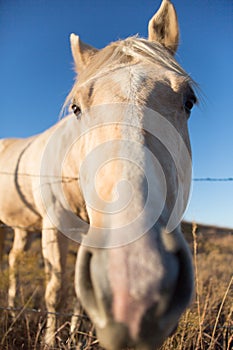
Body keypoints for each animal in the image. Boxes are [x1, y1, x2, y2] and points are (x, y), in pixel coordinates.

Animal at [0, 0, 197, 348]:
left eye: (189, 101)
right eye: (76, 107)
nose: (136, 293)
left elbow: (81, 295)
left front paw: (75, 335)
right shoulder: (54, 228)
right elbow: (55, 291)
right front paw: (51, 340)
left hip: (22, 229)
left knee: (13, 260)